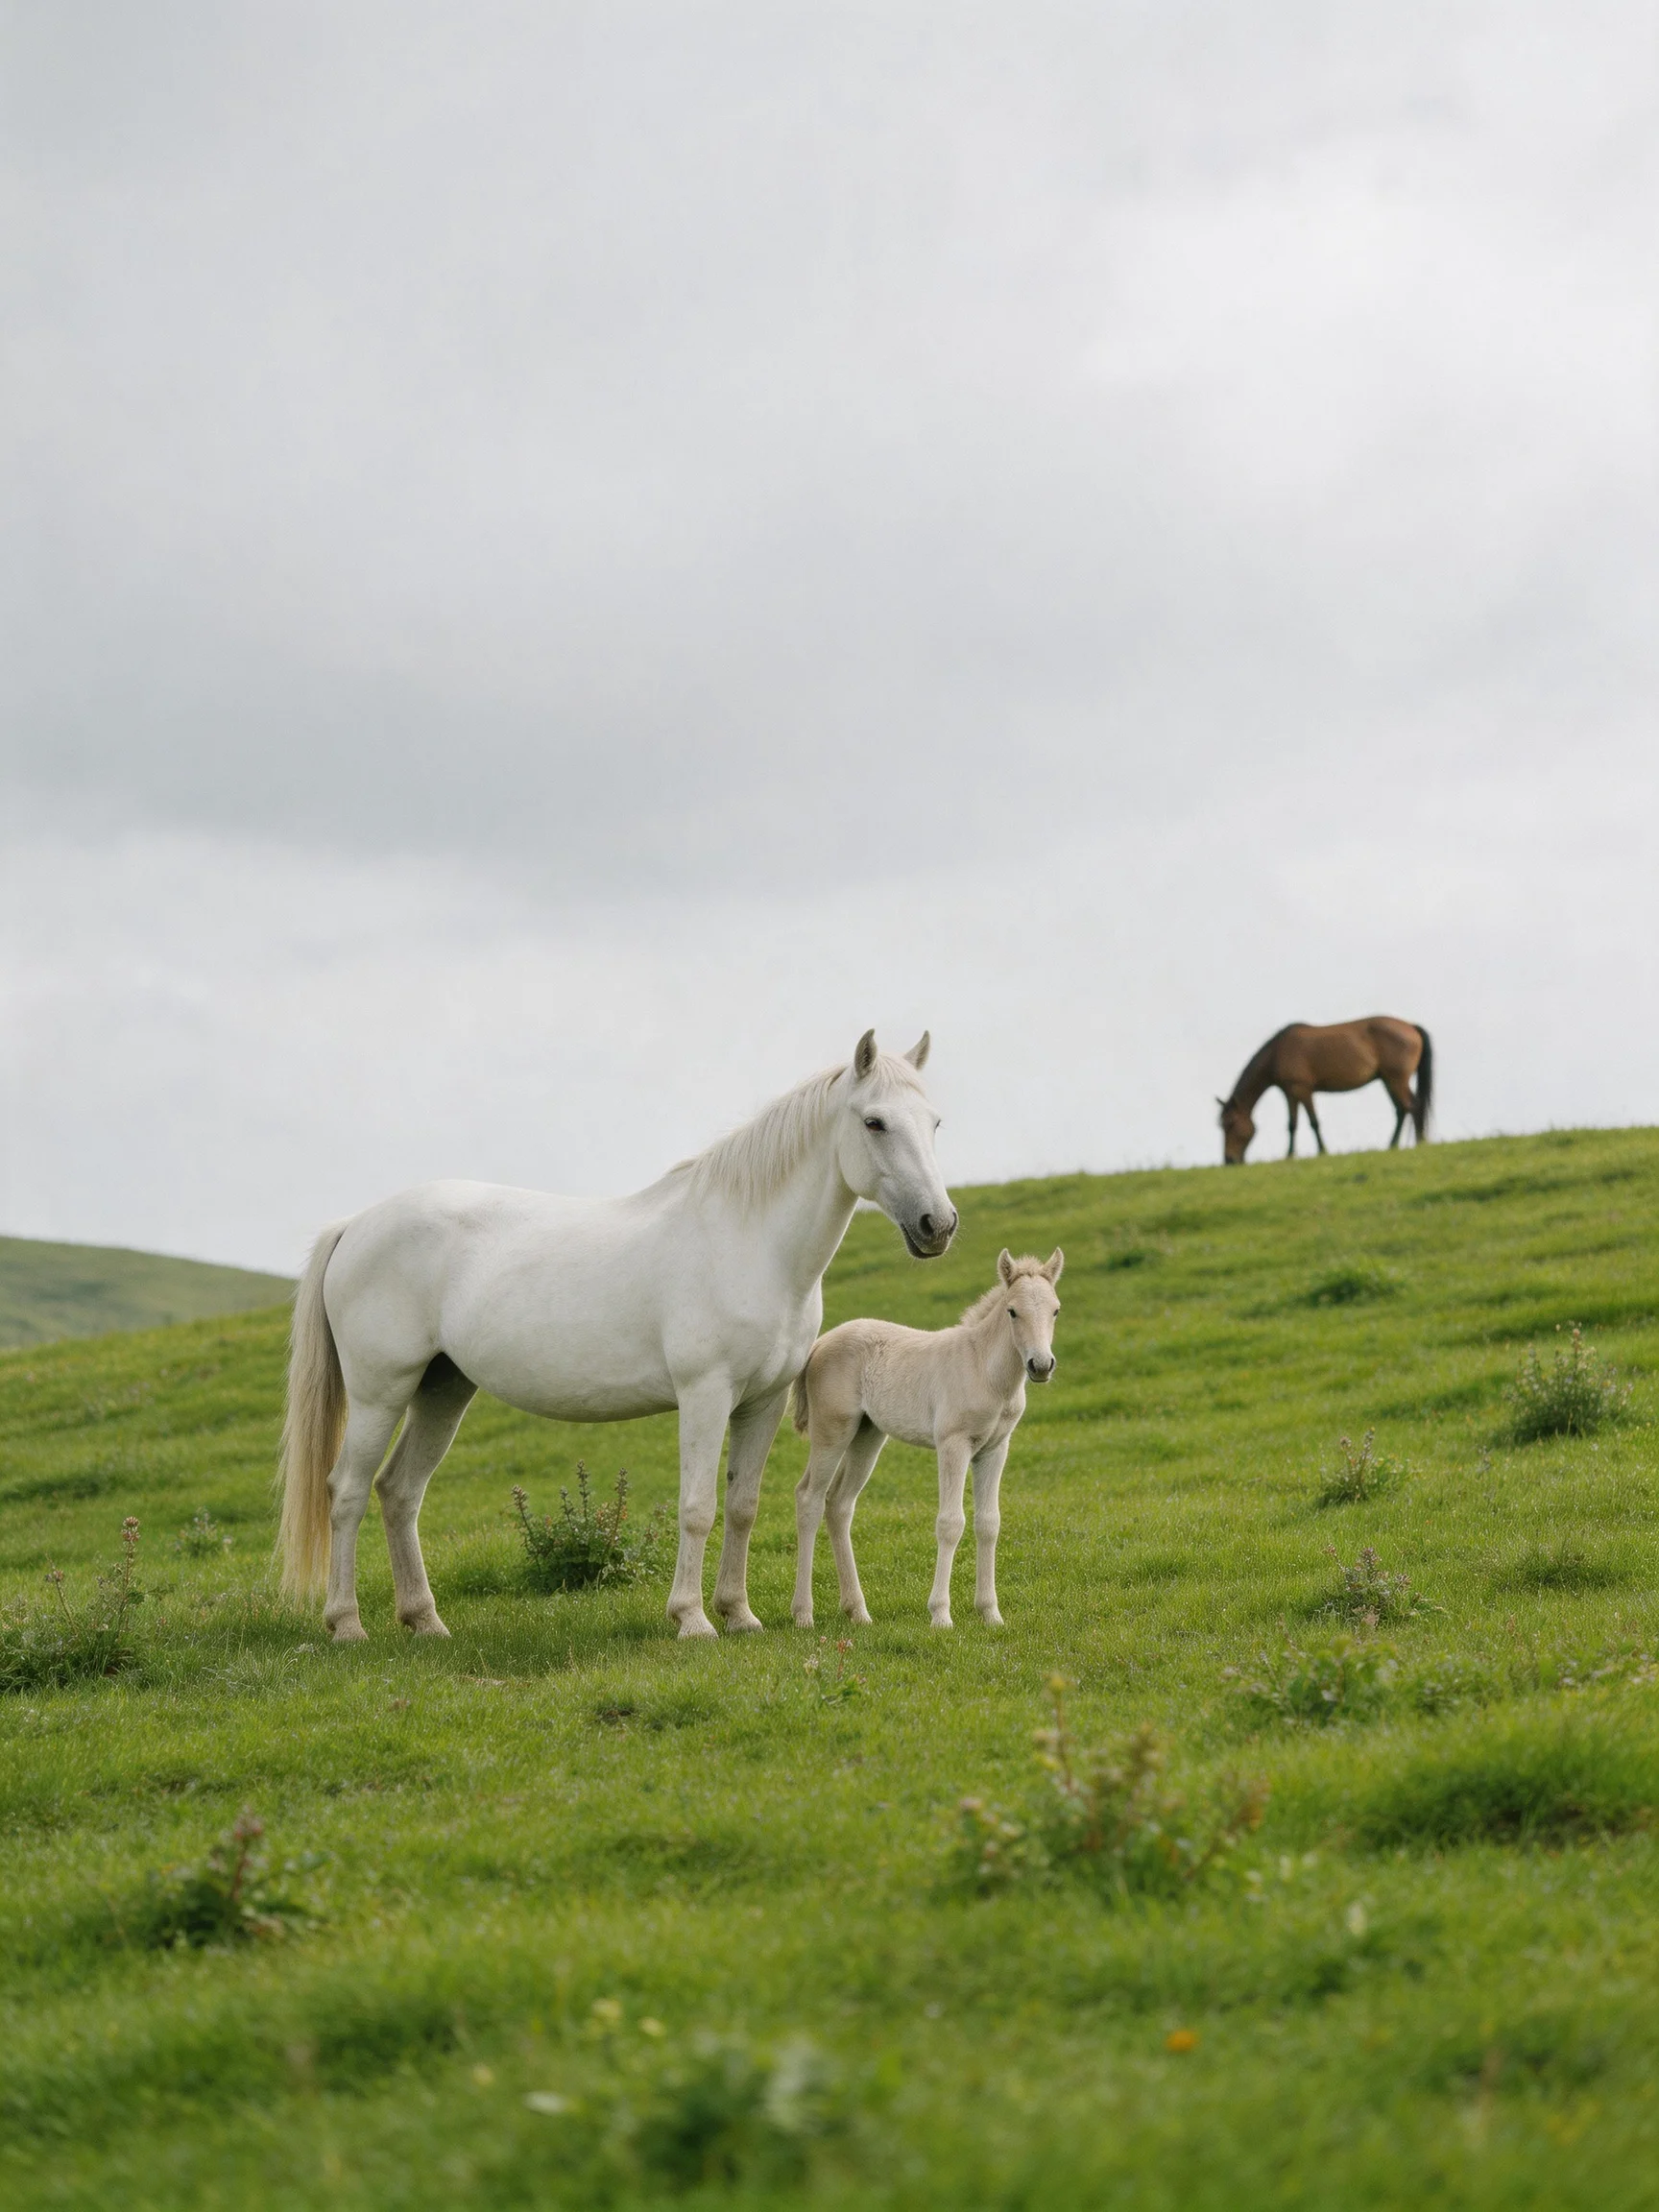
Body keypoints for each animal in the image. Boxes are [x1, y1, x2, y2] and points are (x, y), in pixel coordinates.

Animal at [277, 1030, 956, 1643]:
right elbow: (697, 1508)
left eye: (935, 1122)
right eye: (874, 1122)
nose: (938, 1225)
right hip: (379, 1394)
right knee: (347, 1493)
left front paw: (739, 1614)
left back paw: (425, 1622)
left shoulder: (761, 1402)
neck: (749, 1241)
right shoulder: (705, 1396)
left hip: (442, 1391)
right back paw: (346, 1625)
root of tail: (356, 1224)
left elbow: (742, 1506)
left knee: (399, 1492)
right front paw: (692, 1620)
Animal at [787, 1248, 1063, 1631]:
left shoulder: (994, 1449)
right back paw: (803, 1614)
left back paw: (858, 1612)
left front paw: (991, 1614)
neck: (985, 1371)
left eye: (1055, 1309)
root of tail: (820, 1343)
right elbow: (950, 1523)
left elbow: (988, 1524)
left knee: (839, 1504)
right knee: (809, 1498)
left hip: (867, 1435)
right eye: (1012, 1311)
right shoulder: (953, 1444)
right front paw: (941, 1615)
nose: (1041, 1365)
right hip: (833, 1431)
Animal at [1218, 1018, 1432, 1164]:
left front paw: (1322, 1151)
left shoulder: (1303, 1090)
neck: (1277, 1052)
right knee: (1402, 1110)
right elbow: (1292, 1125)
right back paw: (1393, 1145)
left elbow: (1313, 1122)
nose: (1229, 1160)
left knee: (1412, 1107)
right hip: (1388, 1080)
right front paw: (1289, 1155)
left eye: (1230, 1124)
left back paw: (1418, 1142)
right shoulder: (1290, 1093)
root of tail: (1411, 1027)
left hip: (1396, 1080)